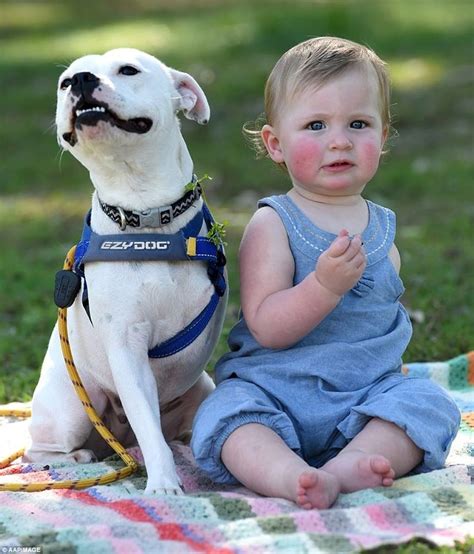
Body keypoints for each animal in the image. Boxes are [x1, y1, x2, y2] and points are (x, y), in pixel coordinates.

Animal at [24, 48, 228, 492]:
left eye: (129, 70)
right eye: (64, 82)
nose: (81, 79)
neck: (146, 215)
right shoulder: (126, 347)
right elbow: (149, 430)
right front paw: (165, 486)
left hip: (201, 387)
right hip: (70, 409)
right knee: (40, 449)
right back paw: (75, 458)